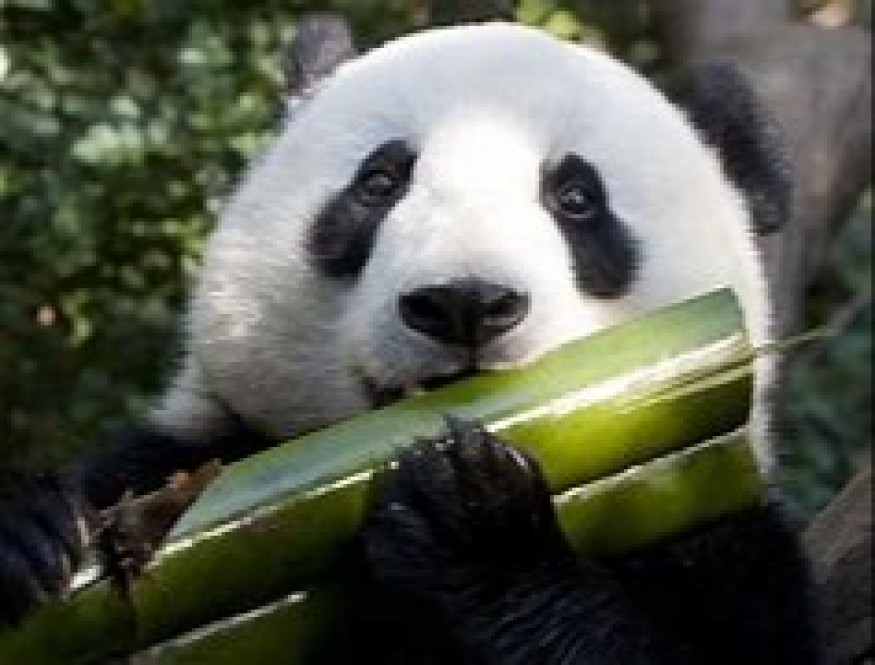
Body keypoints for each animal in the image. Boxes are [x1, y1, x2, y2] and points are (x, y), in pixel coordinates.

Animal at [0, 21, 819, 663]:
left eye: (577, 199)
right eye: (380, 182)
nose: (464, 303)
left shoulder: (702, 509)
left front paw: (477, 526)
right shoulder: (196, 458)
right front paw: (28, 531)